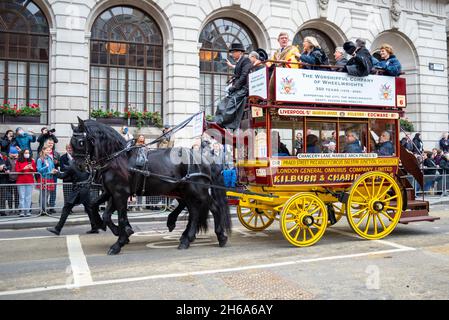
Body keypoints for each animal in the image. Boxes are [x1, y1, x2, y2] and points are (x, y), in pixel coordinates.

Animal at [71, 117, 229, 255]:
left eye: (80, 142)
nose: (78, 166)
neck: (117, 158)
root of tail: (204, 158)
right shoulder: (111, 192)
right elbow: (101, 211)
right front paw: (116, 230)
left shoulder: (120, 193)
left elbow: (120, 217)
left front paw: (119, 242)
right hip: (184, 191)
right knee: (193, 210)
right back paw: (184, 236)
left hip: (198, 190)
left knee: (213, 208)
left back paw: (220, 236)